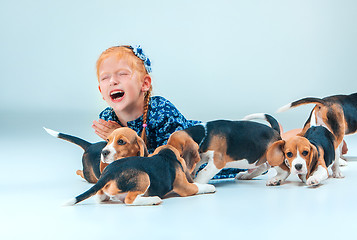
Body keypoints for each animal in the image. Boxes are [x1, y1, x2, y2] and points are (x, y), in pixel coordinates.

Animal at [64, 144, 214, 206]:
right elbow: (197, 186)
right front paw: (210, 187)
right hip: (144, 177)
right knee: (129, 200)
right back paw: (153, 199)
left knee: (100, 197)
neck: (165, 154)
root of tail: (109, 172)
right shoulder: (184, 186)